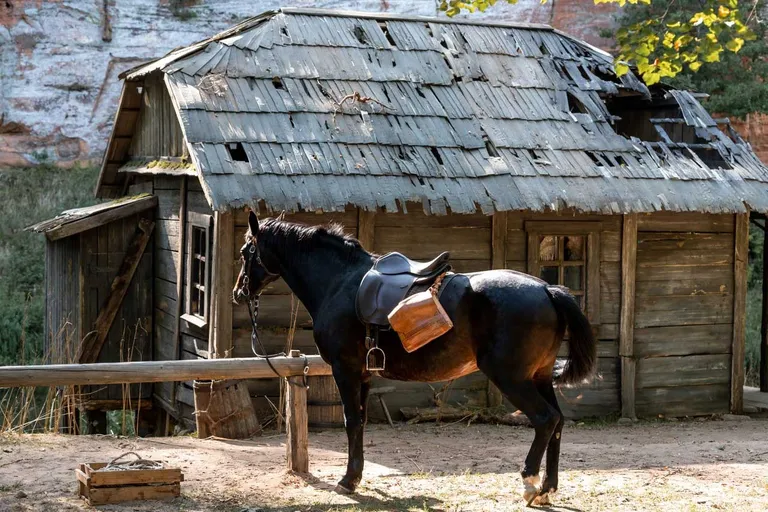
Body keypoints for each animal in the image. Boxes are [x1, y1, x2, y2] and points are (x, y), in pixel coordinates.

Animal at [234, 211, 600, 504]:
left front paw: (348, 481)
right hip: (539, 377)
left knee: (545, 419)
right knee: (558, 421)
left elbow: (351, 421)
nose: (239, 292)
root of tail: (547, 290)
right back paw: (548, 488)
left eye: (245, 251)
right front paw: (357, 476)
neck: (340, 282)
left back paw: (529, 483)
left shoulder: (345, 370)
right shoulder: (364, 374)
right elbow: (360, 422)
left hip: (511, 377)